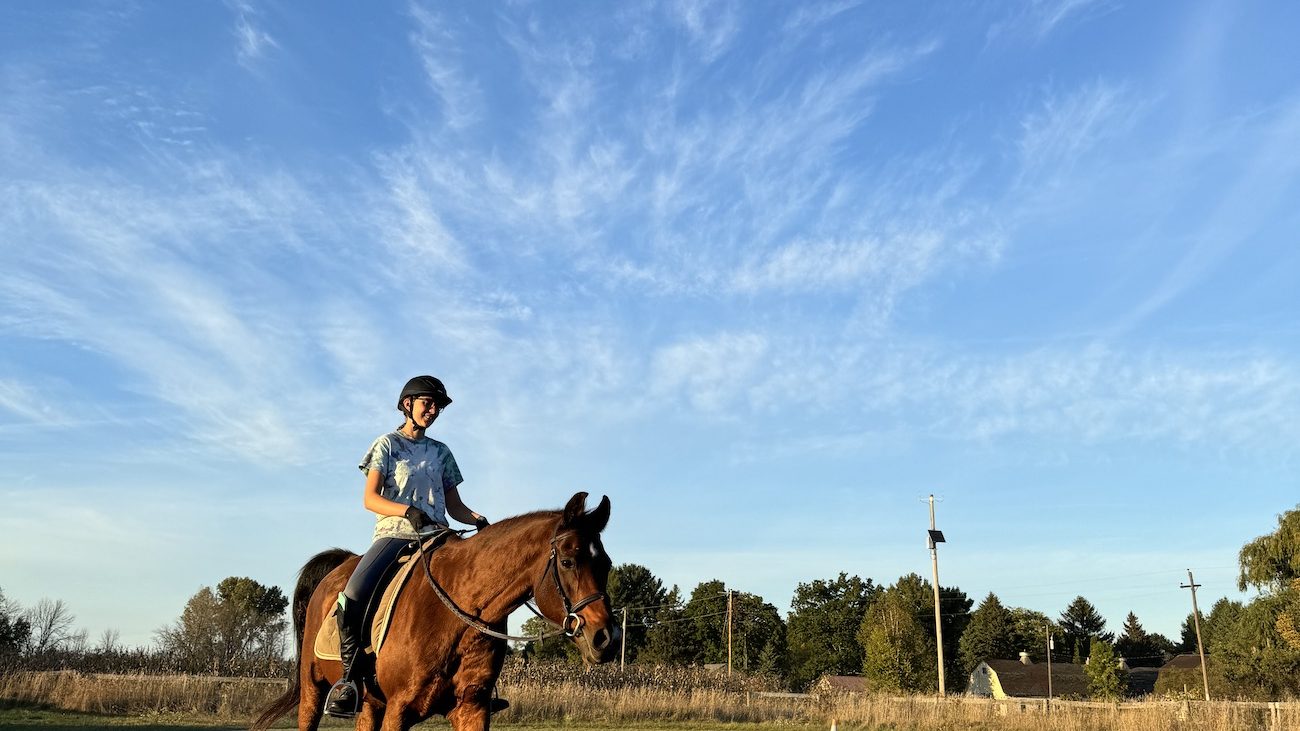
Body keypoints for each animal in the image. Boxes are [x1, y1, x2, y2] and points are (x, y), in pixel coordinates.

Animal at [256, 489, 621, 728]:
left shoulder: (472, 708)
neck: (457, 617)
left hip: (371, 704)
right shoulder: (399, 710)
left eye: (605, 564)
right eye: (568, 561)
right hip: (313, 690)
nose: (606, 638)